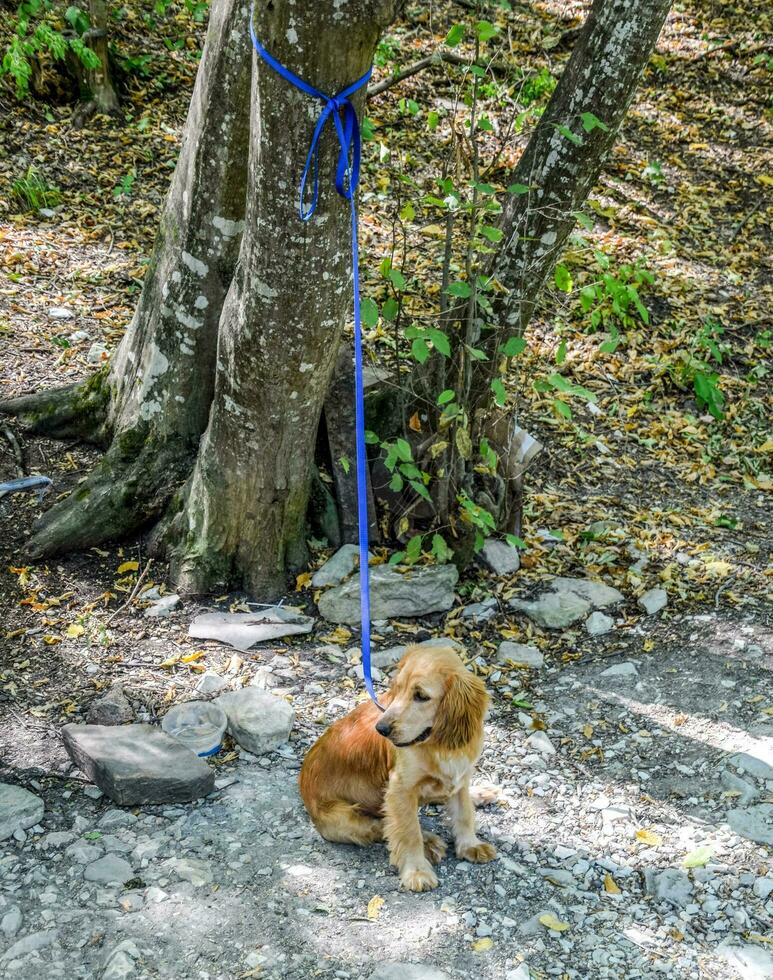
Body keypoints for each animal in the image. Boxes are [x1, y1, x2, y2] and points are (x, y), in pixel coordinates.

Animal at [298, 648, 498, 892]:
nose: (381, 729)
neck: (437, 744)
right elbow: (409, 831)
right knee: (382, 826)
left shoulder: (460, 776)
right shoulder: (400, 789)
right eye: (397, 687)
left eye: (421, 696)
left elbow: (464, 813)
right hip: (344, 818)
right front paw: (417, 871)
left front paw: (471, 844)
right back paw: (429, 841)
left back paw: (479, 794)